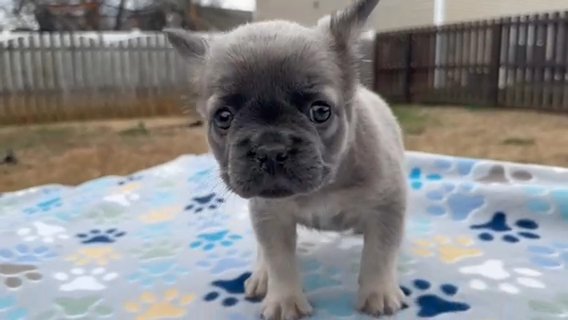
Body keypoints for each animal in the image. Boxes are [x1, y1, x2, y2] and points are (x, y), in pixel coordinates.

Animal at [166, 0, 406, 318]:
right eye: (223, 117)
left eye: (320, 111)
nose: (269, 149)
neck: (322, 187)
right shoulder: (270, 217)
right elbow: (279, 260)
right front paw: (284, 300)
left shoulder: (386, 208)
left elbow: (379, 254)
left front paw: (378, 292)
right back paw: (261, 276)